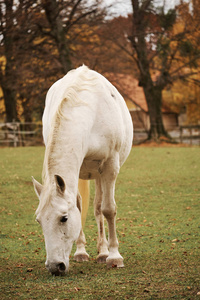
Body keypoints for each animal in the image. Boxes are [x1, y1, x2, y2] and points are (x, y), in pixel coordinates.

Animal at [32, 66, 133, 276]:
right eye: (39, 220)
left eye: (63, 218)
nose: (54, 266)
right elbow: (79, 206)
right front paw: (81, 251)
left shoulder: (110, 167)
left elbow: (108, 209)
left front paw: (114, 256)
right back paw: (84, 252)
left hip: (100, 175)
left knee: (99, 207)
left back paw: (103, 253)